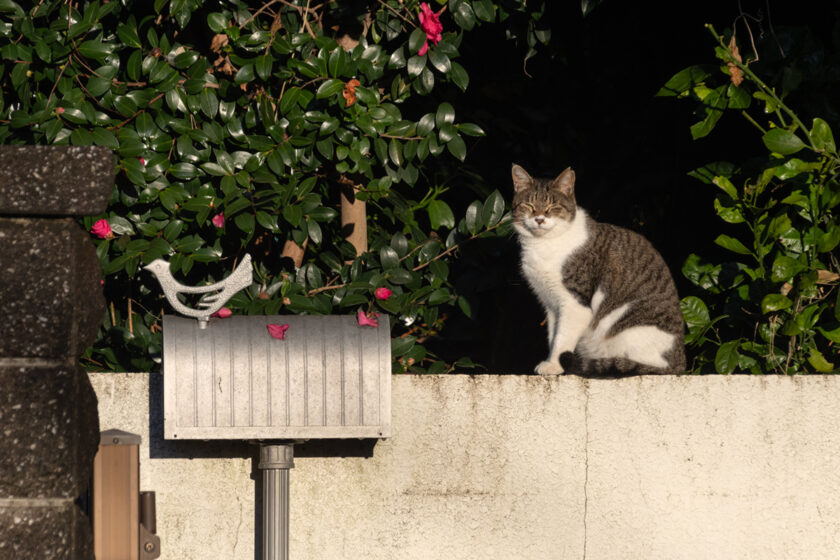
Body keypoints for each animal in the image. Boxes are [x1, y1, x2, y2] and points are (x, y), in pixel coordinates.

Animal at [508, 164, 684, 378]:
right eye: (529, 205)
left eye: (553, 207)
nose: (539, 219)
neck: (544, 245)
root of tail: (680, 364)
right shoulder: (552, 305)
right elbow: (553, 337)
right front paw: (552, 363)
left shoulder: (575, 303)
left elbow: (561, 339)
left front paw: (554, 366)